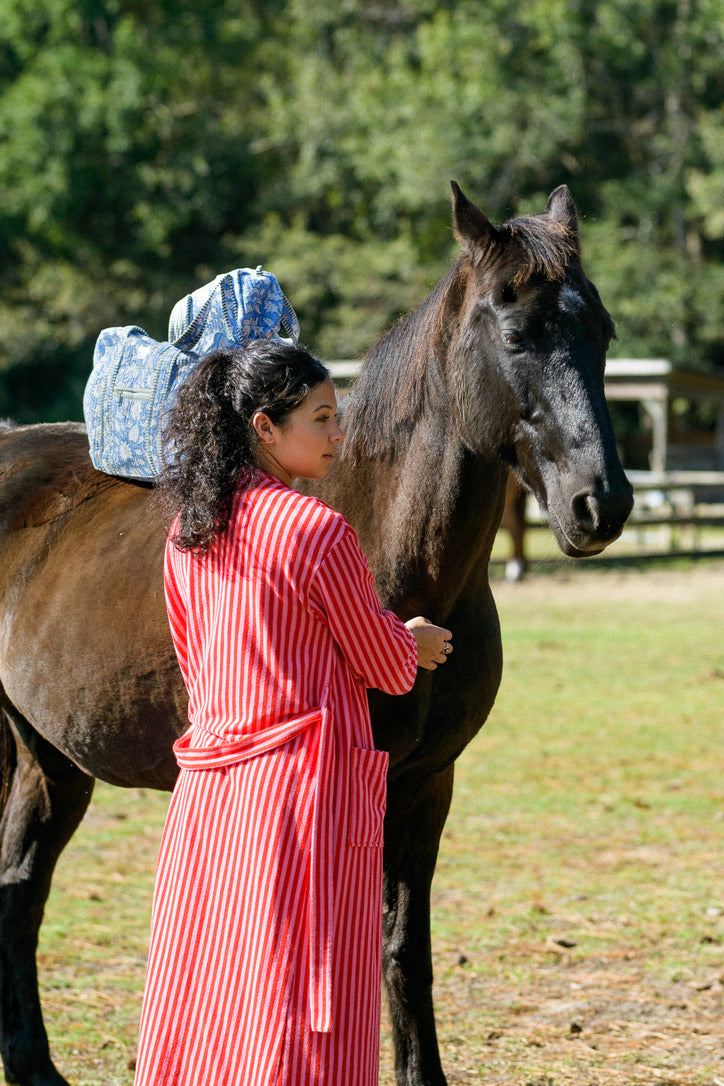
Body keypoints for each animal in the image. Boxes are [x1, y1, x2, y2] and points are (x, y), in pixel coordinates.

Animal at [0, 182, 633, 1081]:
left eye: (603, 333)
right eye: (516, 334)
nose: (600, 504)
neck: (386, 541)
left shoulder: (426, 783)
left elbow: (403, 951)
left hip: (47, 759)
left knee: (19, 891)